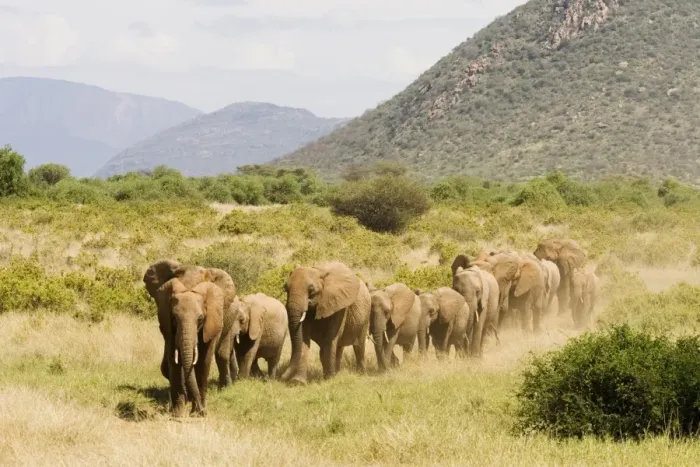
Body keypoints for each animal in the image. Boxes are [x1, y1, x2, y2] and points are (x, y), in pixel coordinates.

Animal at [143, 260, 238, 416]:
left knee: (222, 355)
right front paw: (178, 413)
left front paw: (197, 412)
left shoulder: (213, 319)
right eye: (174, 318)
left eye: (200, 319)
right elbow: (173, 359)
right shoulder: (166, 319)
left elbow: (204, 361)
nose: (203, 411)